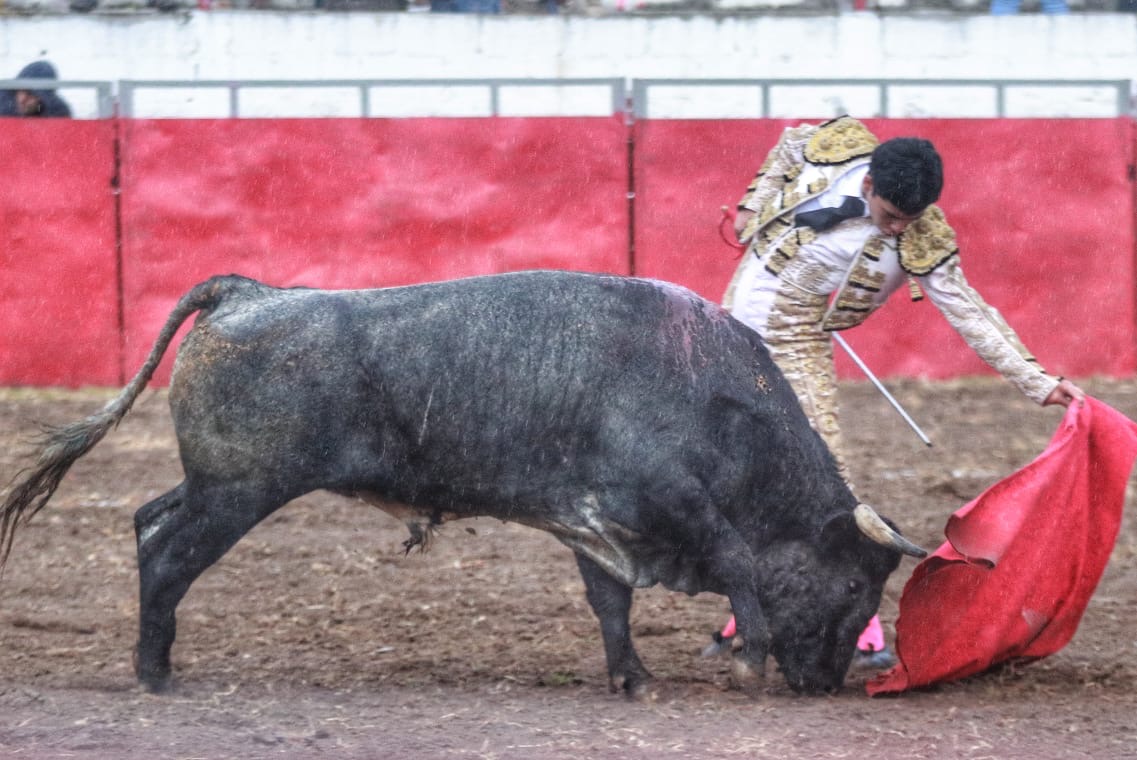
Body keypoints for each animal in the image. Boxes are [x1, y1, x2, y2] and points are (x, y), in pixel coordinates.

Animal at [0, 269, 923, 696]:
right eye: (854, 585)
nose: (825, 682)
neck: (714, 398)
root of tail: (247, 293)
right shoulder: (673, 503)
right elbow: (735, 561)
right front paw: (750, 659)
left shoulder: (594, 521)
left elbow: (609, 602)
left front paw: (630, 677)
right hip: (238, 492)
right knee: (167, 556)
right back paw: (156, 674)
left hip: (212, 487)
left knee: (149, 523)